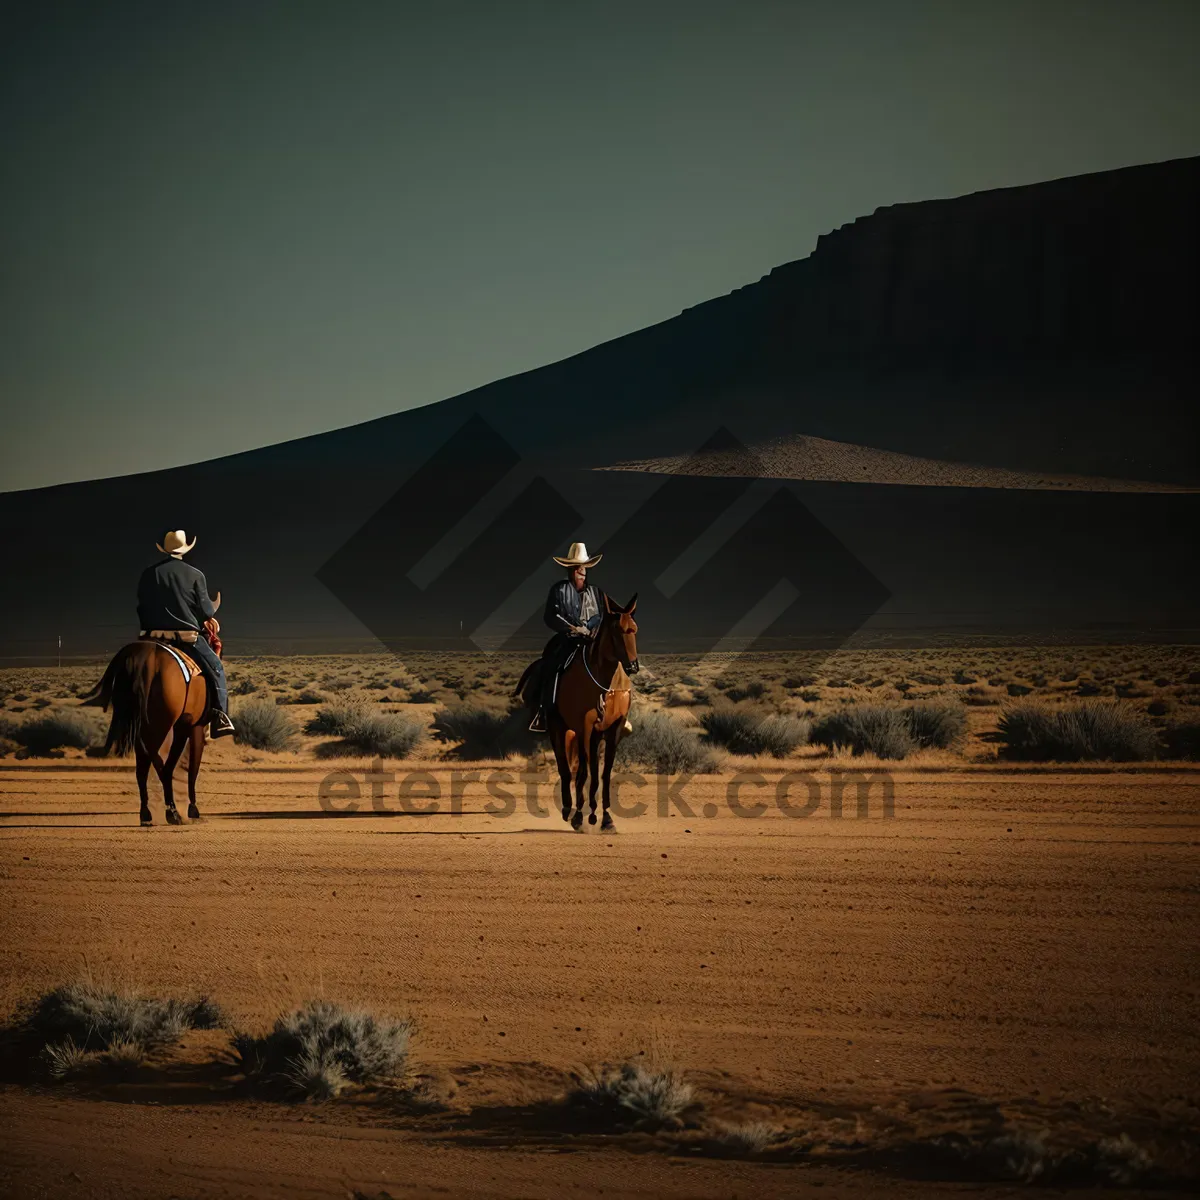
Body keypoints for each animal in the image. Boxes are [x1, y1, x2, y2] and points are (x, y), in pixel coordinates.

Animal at [80, 638, 218, 825]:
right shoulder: (192, 725)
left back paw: (146, 812)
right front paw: (192, 808)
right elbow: (191, 767)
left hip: (143, 723)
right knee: (155, 758)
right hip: (161, 724)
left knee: (143, 766)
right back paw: (172, 811)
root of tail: (142, 656)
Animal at [520, 592, 643, 835]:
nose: (633, 666)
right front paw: (579, 816)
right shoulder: (583, 727)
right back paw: (570, 810)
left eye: (634, 629)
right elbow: (582, 772)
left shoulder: (612, 729)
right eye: (617, 630)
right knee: (566, 768)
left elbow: (603, 774)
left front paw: (606, 819)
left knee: (586, 771)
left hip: (591, 736)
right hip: (559, 728)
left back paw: (590, 813)